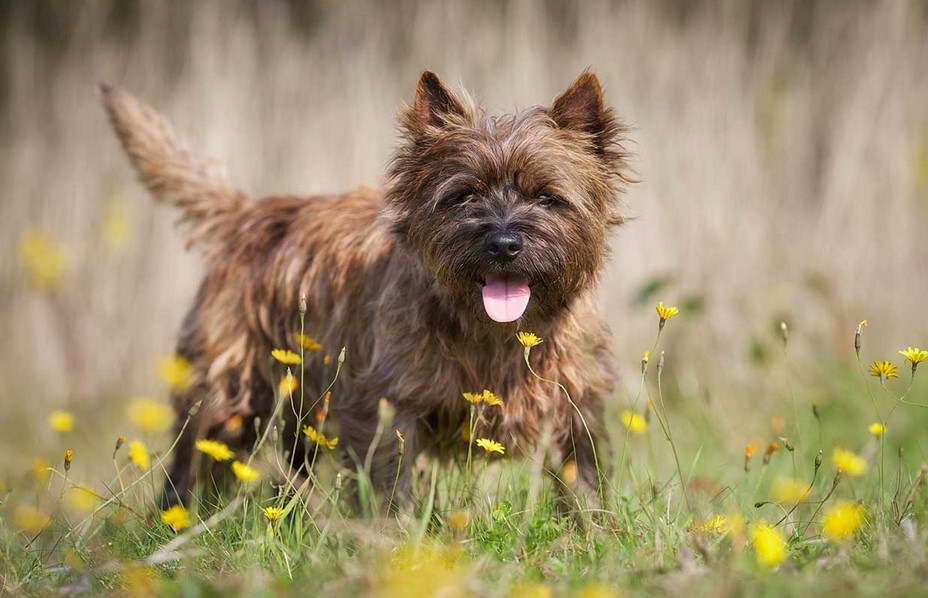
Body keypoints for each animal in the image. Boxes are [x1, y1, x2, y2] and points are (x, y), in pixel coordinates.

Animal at [103, 69, 632, 510]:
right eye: (464, 195)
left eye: (547, 197)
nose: (503, 243)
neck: (495, 332)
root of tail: (245, 214)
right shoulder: (386, 404)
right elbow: (390, 484)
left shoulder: (576, 400)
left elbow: (584, 476)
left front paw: (591, 532)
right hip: (228, 392)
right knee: (194, 463)